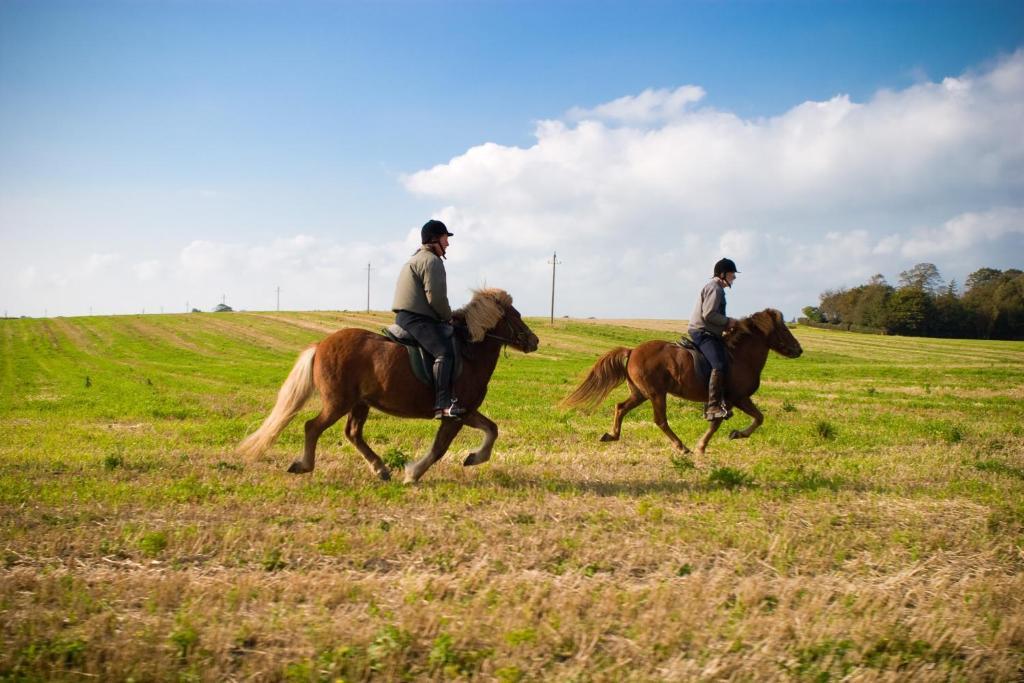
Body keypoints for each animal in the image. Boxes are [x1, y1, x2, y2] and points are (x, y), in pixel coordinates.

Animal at [236, 288, 540, 481]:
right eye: (516, 315)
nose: (534, 341)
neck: (468, 352)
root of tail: (321, 344)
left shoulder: (466, 411)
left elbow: (492, 429)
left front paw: (474, 458)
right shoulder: (453, 414)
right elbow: (439, 448)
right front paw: (413, 474)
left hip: (360, 403)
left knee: (353, 433)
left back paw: (380, 469)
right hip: (338, 402)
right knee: (313, 427)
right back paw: (304, 465)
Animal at [565, 309, 802, 458]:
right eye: (784, 329)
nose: (799, 350)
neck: (740, 356)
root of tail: (632, 351)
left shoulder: (731, 400)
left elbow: (749, 419)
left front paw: (718, 440)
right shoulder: (736, 398)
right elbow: (748, 419)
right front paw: (710, 443)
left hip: (640, 393)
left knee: (620, 407)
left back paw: (612, 435)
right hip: (656, 394)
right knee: (660, 420)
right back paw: (681, 447)